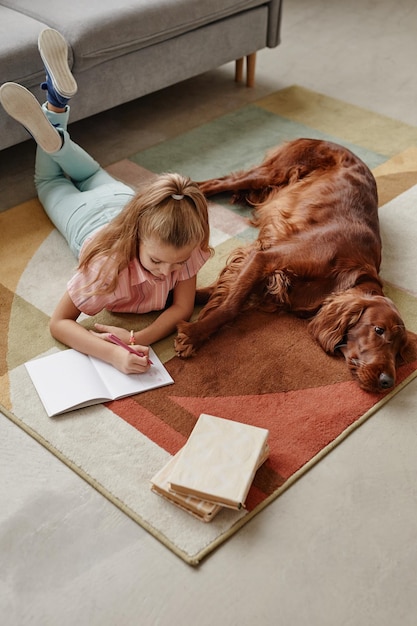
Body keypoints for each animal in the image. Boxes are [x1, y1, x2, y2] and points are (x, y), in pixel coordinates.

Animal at [174, 138, 412, 390]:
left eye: (399, 349)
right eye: (378, 330)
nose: (388, 381)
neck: (348, 274)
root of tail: (327, 140)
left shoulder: (265, 272)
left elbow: (223, 288)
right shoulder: (266, 258)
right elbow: (230, 307)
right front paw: (193, 334)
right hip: (270, 173)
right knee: (216, 183)